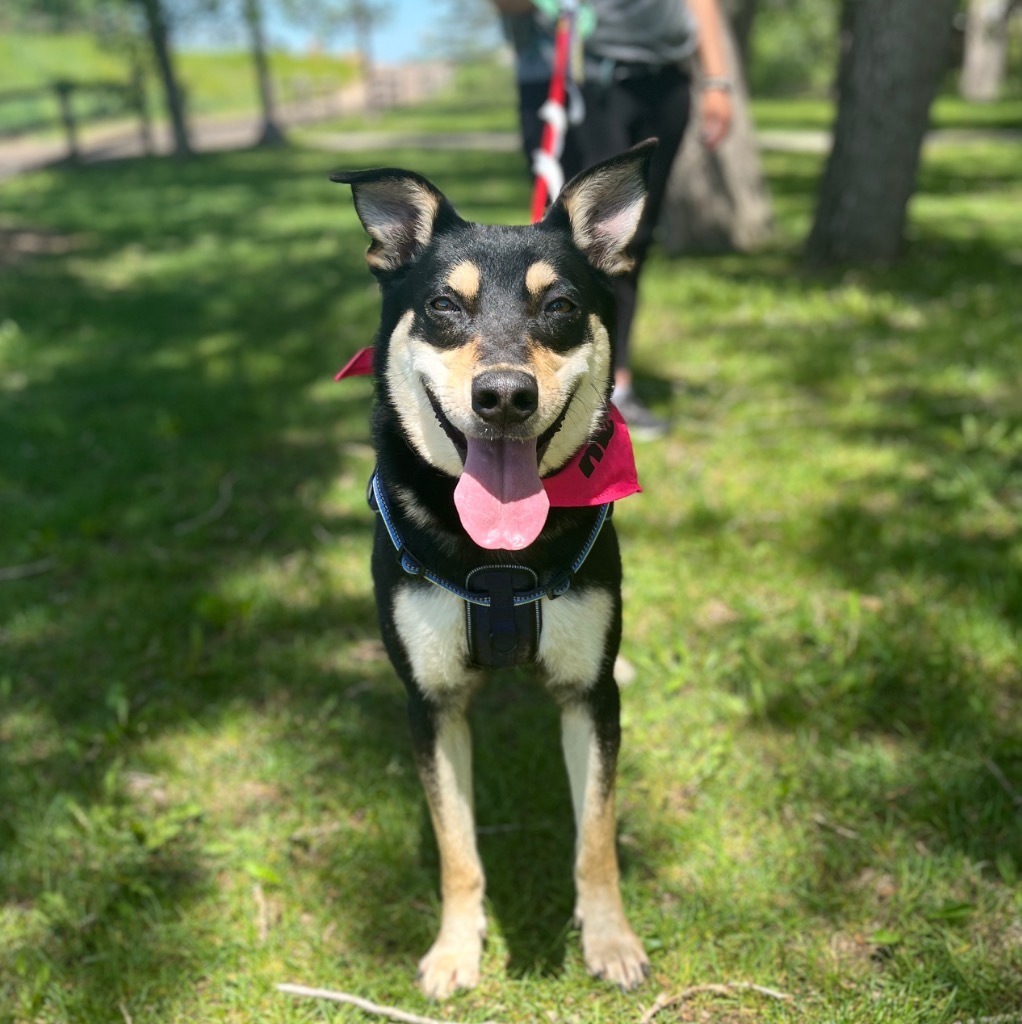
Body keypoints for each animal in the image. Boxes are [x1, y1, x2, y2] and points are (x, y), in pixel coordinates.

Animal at [335, 144, 655, 999]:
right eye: (444, 305)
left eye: (562, 306)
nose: (505, 395)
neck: (498, 558)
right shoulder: (433, 704)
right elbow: (457, 849)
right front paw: (454, 949)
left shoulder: (588, 697)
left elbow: (596, 837)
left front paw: (610, 939)